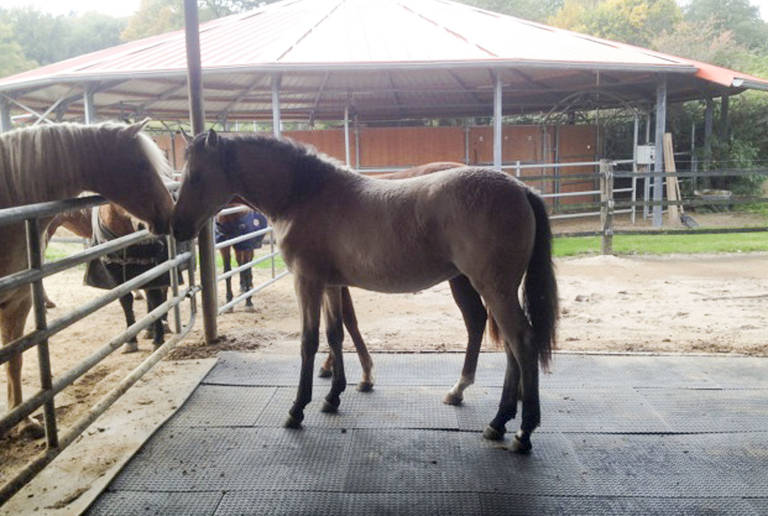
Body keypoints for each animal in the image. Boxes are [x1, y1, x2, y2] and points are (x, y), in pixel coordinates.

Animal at [172, 131, 560, 454]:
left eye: (196, 176)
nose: (176, 228)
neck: (304, 193)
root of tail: (519, 188)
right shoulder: (331, 284)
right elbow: (335, 334)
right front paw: (333, 397)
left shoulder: (307, 282)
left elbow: (309, 341)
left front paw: (297, 409)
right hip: (495, 289)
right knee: (509, 344)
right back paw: (497, 420)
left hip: (492, 288)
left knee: (521, 341)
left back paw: (522, 431)